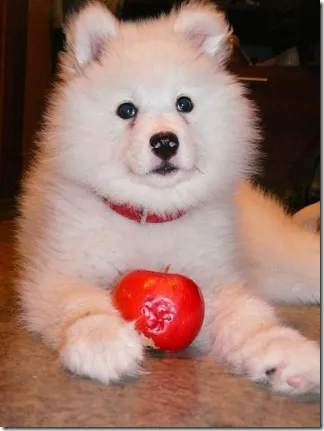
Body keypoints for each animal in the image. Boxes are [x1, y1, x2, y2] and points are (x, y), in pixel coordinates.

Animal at [16, 1, 320, 396]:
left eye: (184, 104)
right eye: (126, 110)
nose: (164, 142)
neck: (150, 215)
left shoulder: (214, 281)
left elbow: (250, 318)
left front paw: (283, 350)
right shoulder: (55, 273)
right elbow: (78, 300)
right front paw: (103, 340)